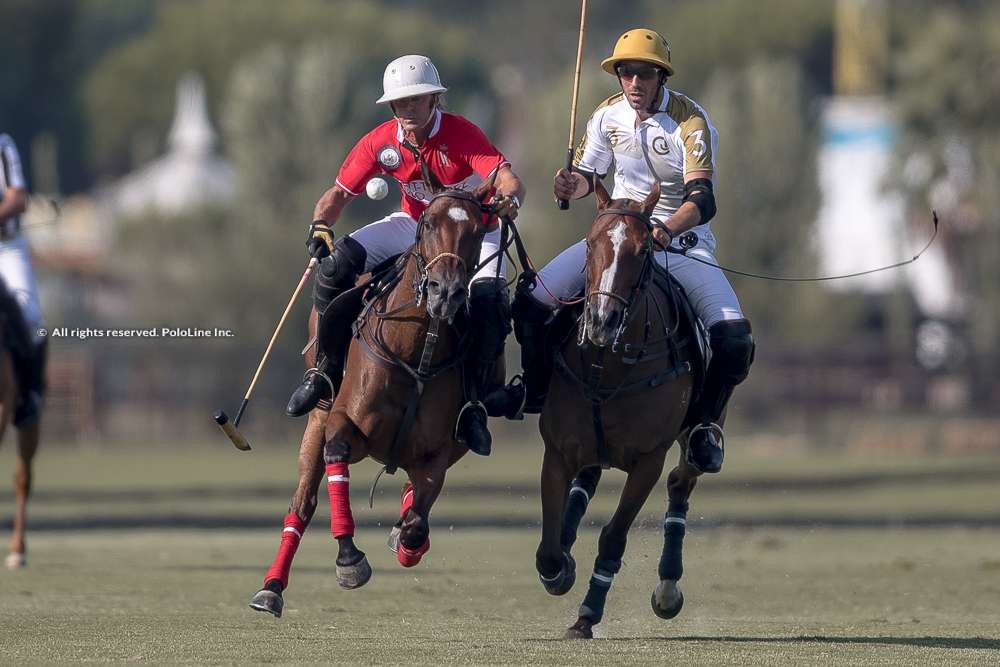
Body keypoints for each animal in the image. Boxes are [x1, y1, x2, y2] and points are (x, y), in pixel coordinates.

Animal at [250, 164, 500, 620]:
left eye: (479, 228)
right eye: (427, 223)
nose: (445, 292)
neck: (416, 349)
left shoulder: (439, 450)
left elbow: (418, 521)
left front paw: (405, 541)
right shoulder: (342, 424)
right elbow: (336, 461)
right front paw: (349, 560)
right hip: (316, 419)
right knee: (302, 504)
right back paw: (271, 588)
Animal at [536, 179, 708, 640]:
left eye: (644, 249)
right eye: (590, 242)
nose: (602, 320)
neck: (605, 365)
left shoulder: (648, 460)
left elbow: (613, 538)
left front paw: (587, 616)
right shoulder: (557, 450)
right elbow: (548, 546)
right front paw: (560, 569)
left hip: (694, 437)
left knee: (682, 482)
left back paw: (668, 589)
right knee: (587, 482)